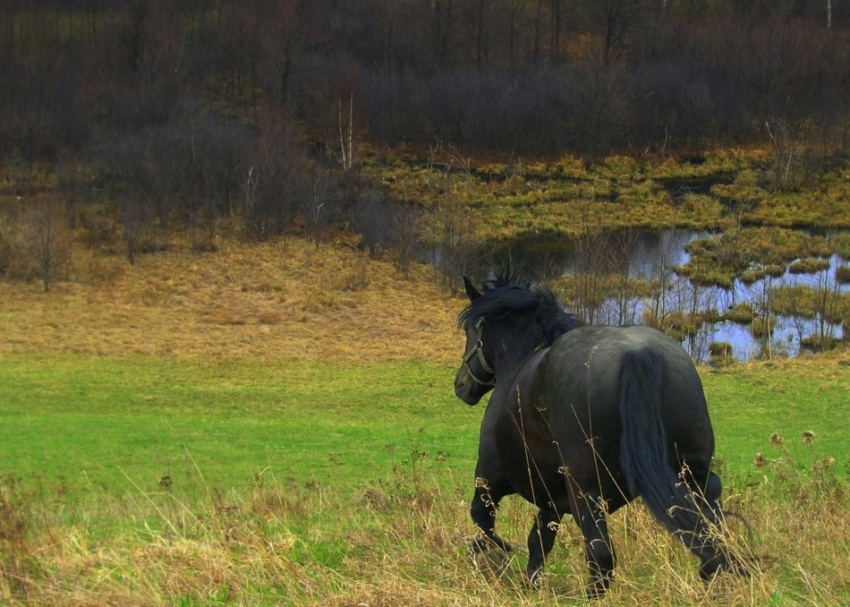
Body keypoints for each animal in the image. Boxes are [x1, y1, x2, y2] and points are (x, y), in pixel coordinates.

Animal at [454, 276, 740, 600]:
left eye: (469, 330)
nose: (461, 385)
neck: (519, 363)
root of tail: (638, 353)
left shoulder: (489, 478)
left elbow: (482, 520)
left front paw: (493, 556)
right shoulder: (553, 500)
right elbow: (538, 540)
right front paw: (531, 582)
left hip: (587, 493)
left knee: (601, 556)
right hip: (696, 475)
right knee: (714, 533)